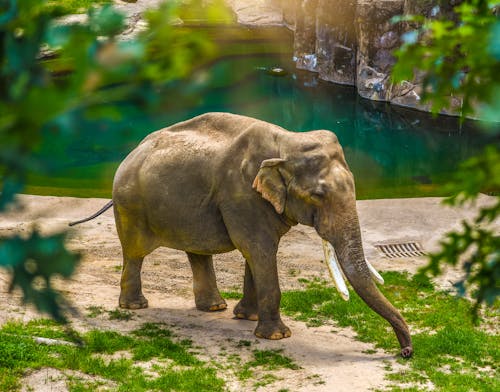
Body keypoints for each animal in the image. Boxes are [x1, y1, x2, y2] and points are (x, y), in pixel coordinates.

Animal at [70, 111, 414, 358]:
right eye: (318, 195)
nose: (406, 352)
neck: (287, 141)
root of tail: (130, 153)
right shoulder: (241, 196)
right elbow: (259, 249)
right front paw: (276, 336)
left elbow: (256, 253)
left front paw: (247, 318)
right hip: (130, 204)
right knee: (135, 252)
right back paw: (136, 307)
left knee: (197, 253)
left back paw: (214, 309)